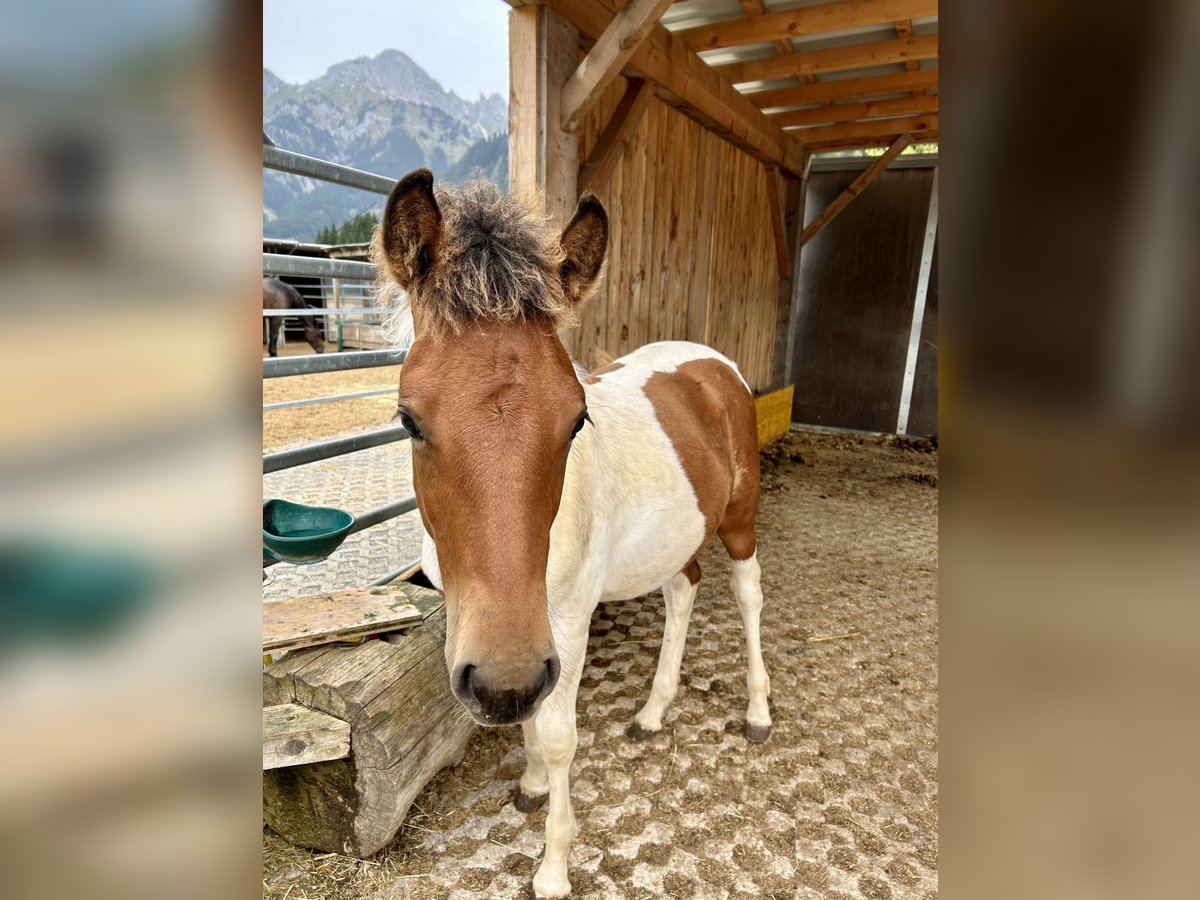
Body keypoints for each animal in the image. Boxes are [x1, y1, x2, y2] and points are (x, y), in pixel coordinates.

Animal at [369, 170, 772, 900]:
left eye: (576, 418)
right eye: (409, 420)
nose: (500, 684)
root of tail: (711, 364)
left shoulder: (565, 618)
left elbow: (557, 733)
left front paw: (553, 868)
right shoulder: (505, 628)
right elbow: (530, 718)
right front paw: (529, 783)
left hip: (738, 520)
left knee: (749, 595)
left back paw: (758, 711)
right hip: (677, 537)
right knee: (684, 589)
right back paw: (653, 711)